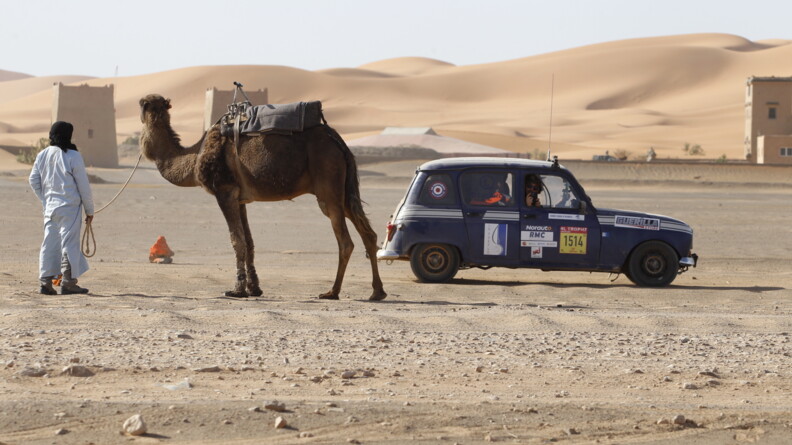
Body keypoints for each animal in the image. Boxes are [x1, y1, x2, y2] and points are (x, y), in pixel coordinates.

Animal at [138, 94, 386, 301]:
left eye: (143, 105)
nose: (141, 107)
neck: (195, 156)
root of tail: (338, 141)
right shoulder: (240, 199)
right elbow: (249, 242)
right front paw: (254, 288)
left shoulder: (224, 191)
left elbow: (236, 240)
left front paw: (236, 290)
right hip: (344, 191)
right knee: (369, 235)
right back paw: (377, 292)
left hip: (328, 187)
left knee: (345, 242)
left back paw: (332, 292)